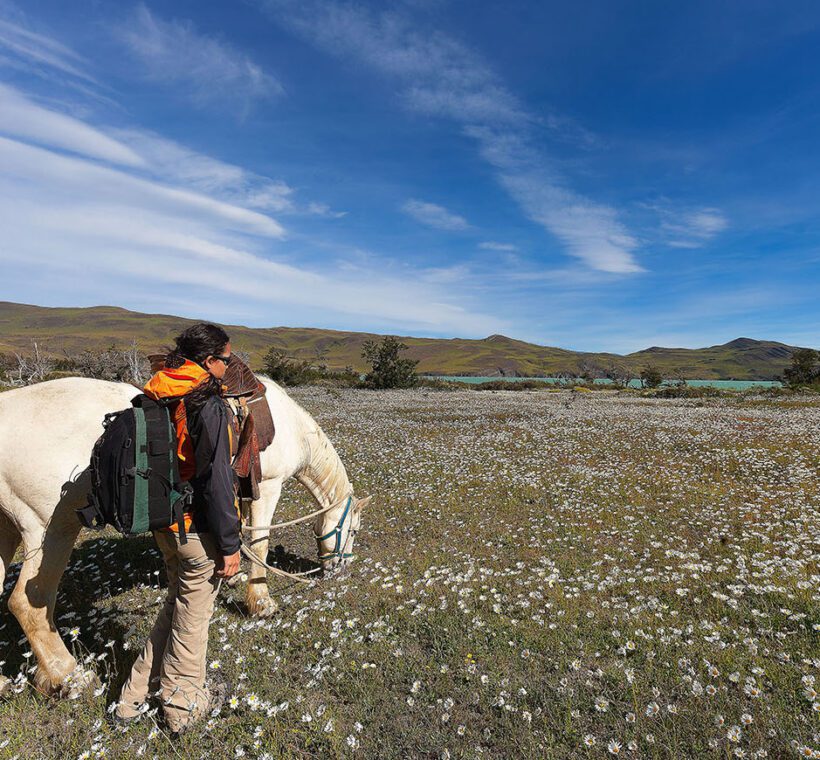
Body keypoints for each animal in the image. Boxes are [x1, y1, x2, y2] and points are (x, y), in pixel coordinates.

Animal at [0, 378, 368, 696]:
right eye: (352, 530)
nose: (342, 569)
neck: (291, 429)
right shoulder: (268, 487)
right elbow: (260, 544)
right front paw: (261, 603)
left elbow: (236, 531)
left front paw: (234, 577)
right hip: (50, 530)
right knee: (29, 602)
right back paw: (69, 675)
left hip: (7, 530)